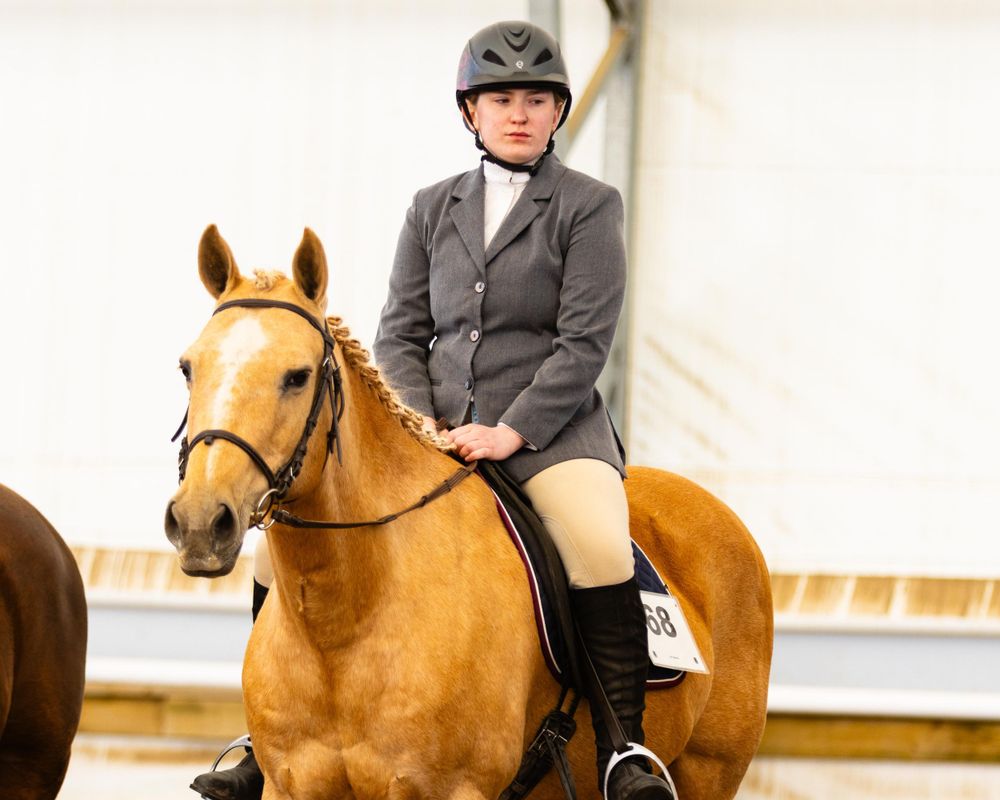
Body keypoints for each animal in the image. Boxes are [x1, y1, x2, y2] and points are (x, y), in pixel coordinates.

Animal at [165, 225, 773, 800]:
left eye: (297, 376)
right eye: (188, 368)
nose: (200, 523)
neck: (344, 624)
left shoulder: (451, 788)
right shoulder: (292, 784)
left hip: (709, 770)